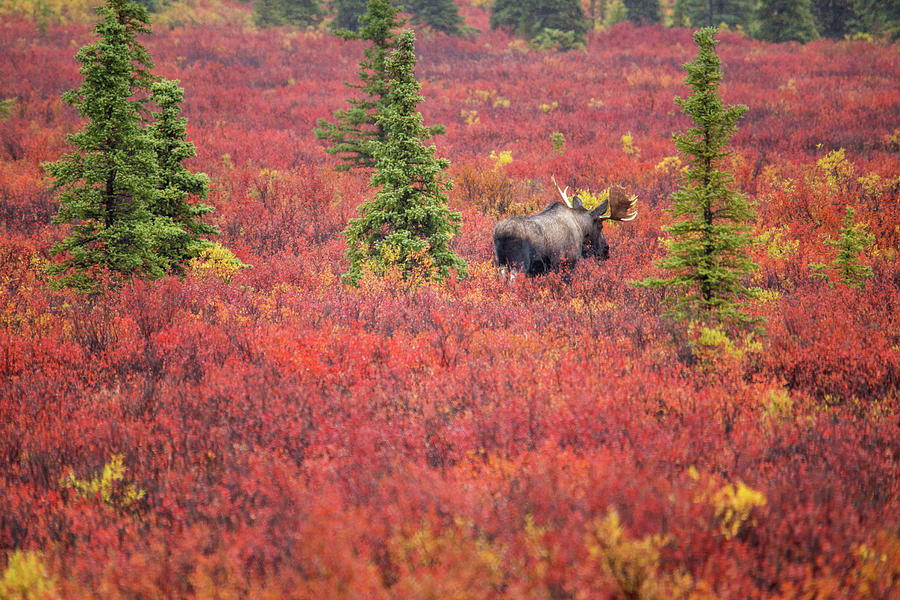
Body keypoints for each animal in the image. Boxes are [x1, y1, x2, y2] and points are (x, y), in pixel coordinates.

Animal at [492, 179, 640, 278]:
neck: (580, 229)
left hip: (502, 263)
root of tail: (500, 234)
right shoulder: (567, 263)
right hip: (518, 264)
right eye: (601, 226)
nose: (606, 250)